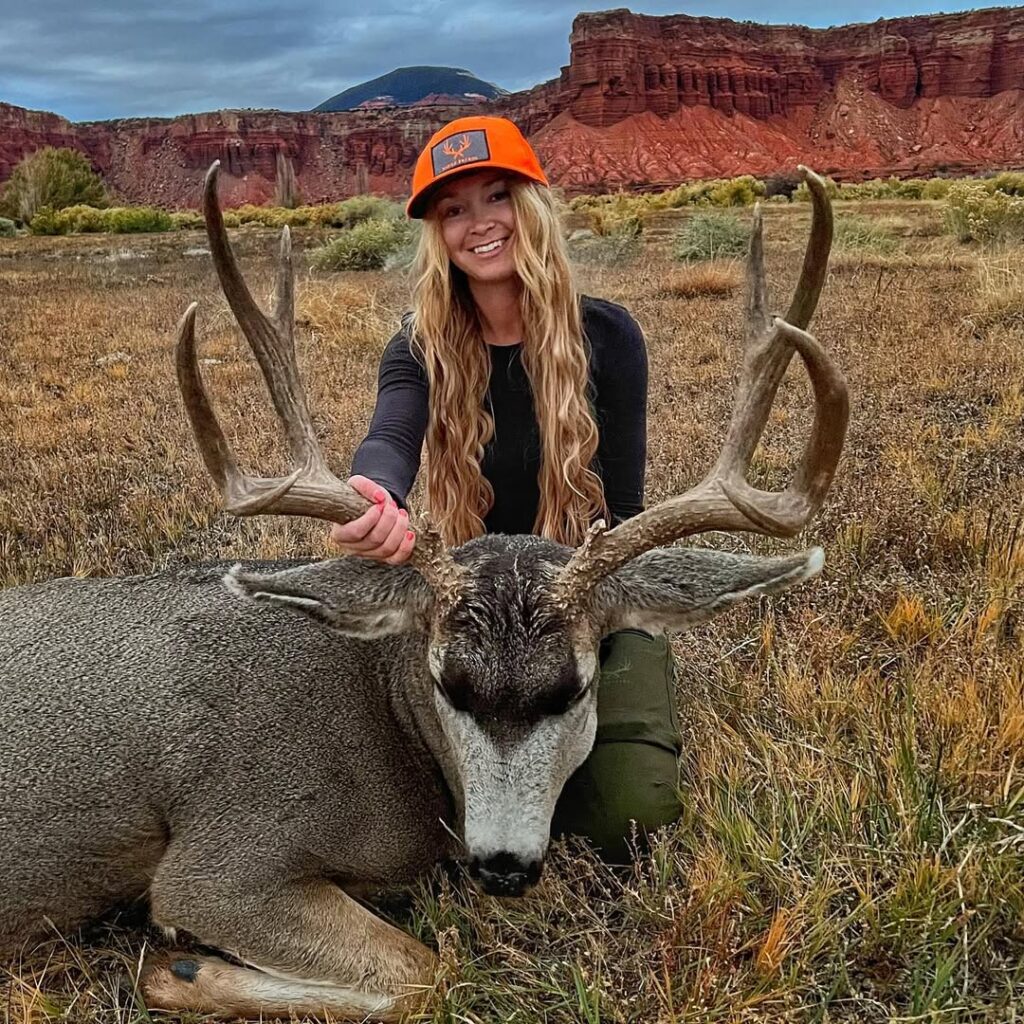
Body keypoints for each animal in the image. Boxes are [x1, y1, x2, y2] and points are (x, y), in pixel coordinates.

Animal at [0, 162, 847, 1021]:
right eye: (448, 683)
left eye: (575, 689)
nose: (503, 864)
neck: (387, 711)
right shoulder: (222, 861)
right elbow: (422, 969)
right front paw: (177, 967)